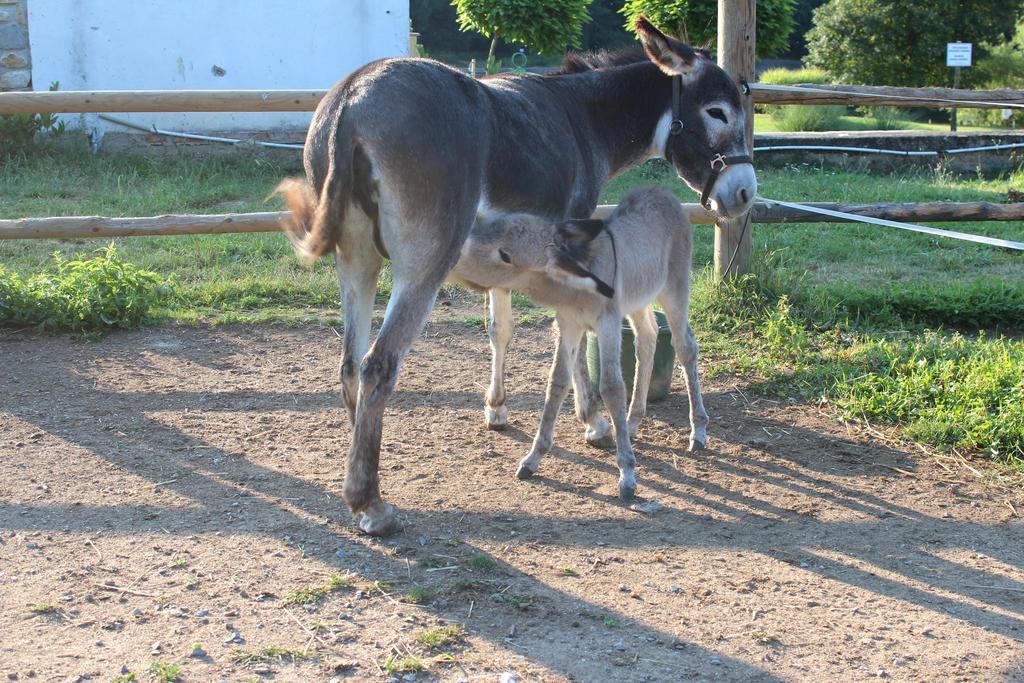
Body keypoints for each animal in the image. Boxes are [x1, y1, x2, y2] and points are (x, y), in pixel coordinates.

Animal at [452, 185, 708, 497]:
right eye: (494, 226)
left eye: (505, 255)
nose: (456, 251)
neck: (573, 289)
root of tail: (664, 193)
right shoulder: (570, 325)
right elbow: (557, 383)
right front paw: (533, 458)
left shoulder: (607, 325)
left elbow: (611, 387)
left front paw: (627, 473)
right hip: (637, 299)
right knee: (647, 338)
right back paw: (632, 422)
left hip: (674, 289)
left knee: (685, 346)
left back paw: (698, 432)